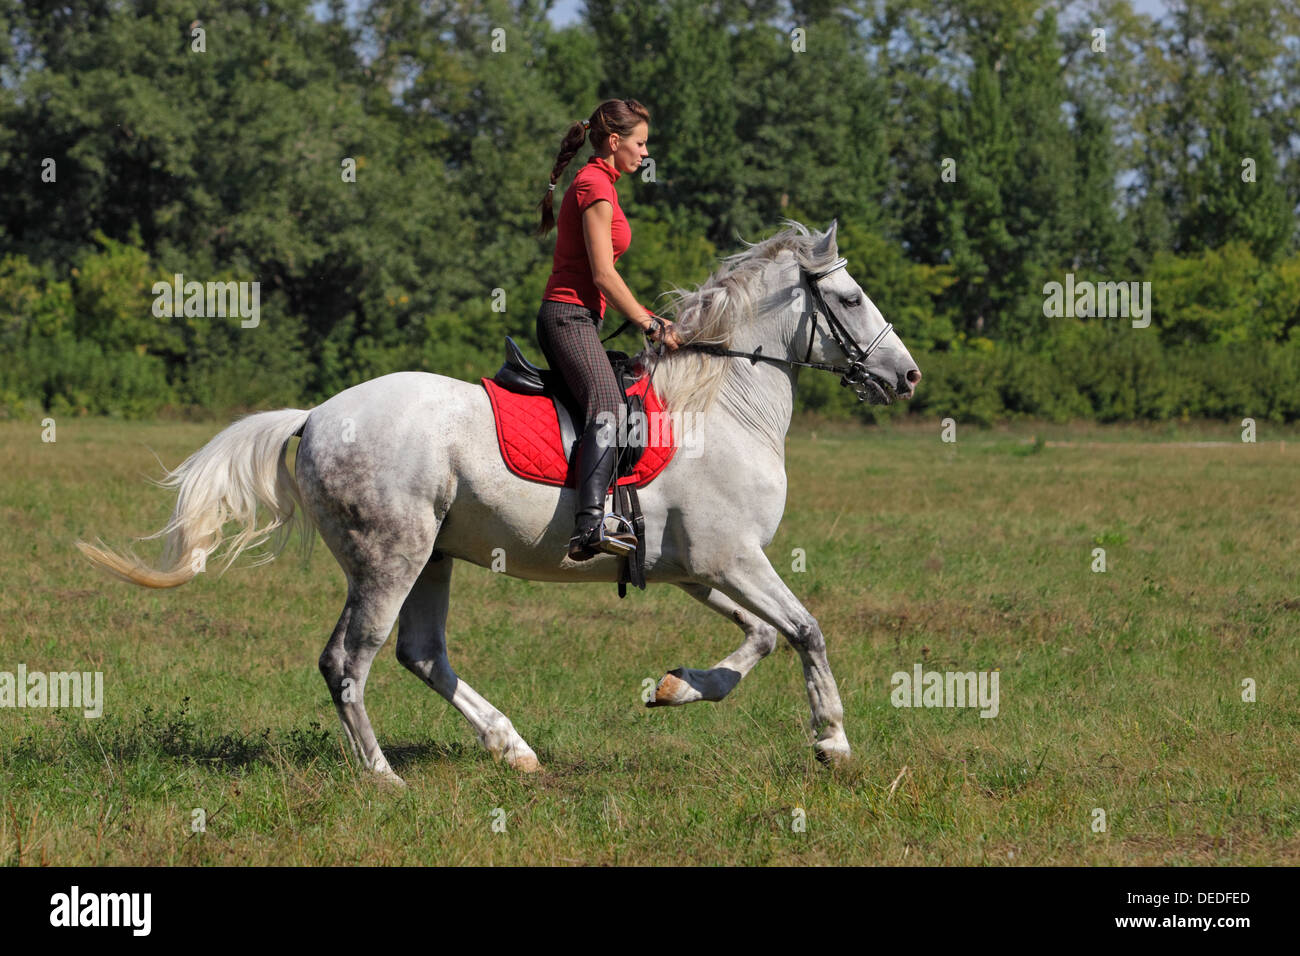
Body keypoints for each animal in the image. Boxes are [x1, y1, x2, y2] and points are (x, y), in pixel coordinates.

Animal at [77, 219, 922, 785]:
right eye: (850, 297)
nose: (907, 376)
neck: (721, 407)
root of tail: (315, 416)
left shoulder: (697, 568)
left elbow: (764, 637)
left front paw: (679, 687)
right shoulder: (734, 559)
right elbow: (806, 630)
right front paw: (833, 742)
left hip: (433, 557)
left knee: (421, 653)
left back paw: (512, 747)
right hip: (391, 558)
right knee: (350, 660)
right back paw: (383, 777)